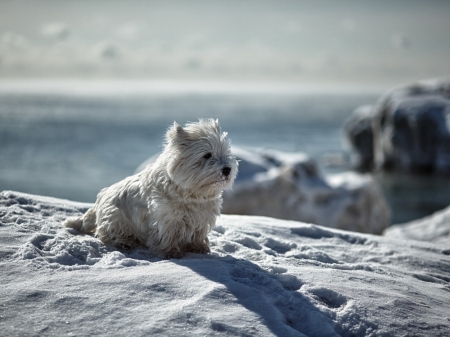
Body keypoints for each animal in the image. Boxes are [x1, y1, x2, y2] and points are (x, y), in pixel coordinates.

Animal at [65, 118, 239, 258]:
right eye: (207, 155)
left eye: (225, 153)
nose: (227, 169)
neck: (192, 193)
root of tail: (99, 201)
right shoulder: (166, 216)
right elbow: (168, 234)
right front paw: (170, 252)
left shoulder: (202, 217)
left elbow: (198, 234)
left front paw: (199, 248)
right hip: (115, 218)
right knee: (105, 234)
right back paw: (125, 242)